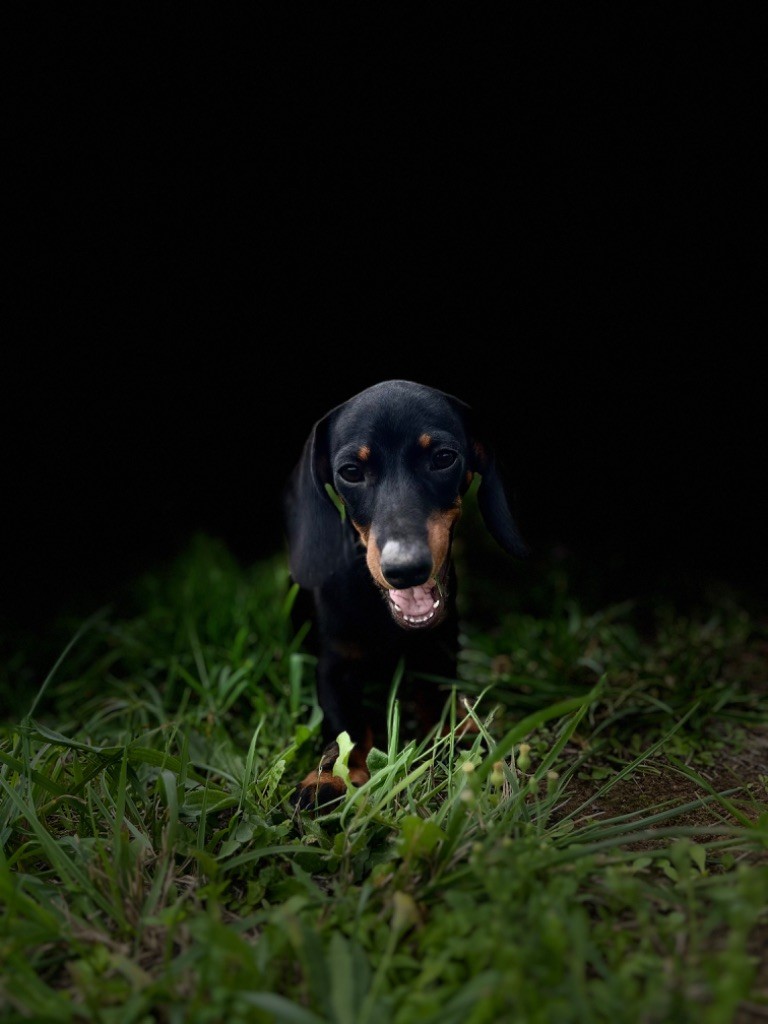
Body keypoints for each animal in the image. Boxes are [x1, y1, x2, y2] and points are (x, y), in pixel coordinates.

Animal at [284, 378, 528, 806]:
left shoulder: (440, 654)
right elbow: (346, 729)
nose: (405, 569)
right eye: (351, 471)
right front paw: (328, 777)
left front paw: (459, 739)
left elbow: (439, 703)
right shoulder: (334, 666)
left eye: (444, 458)